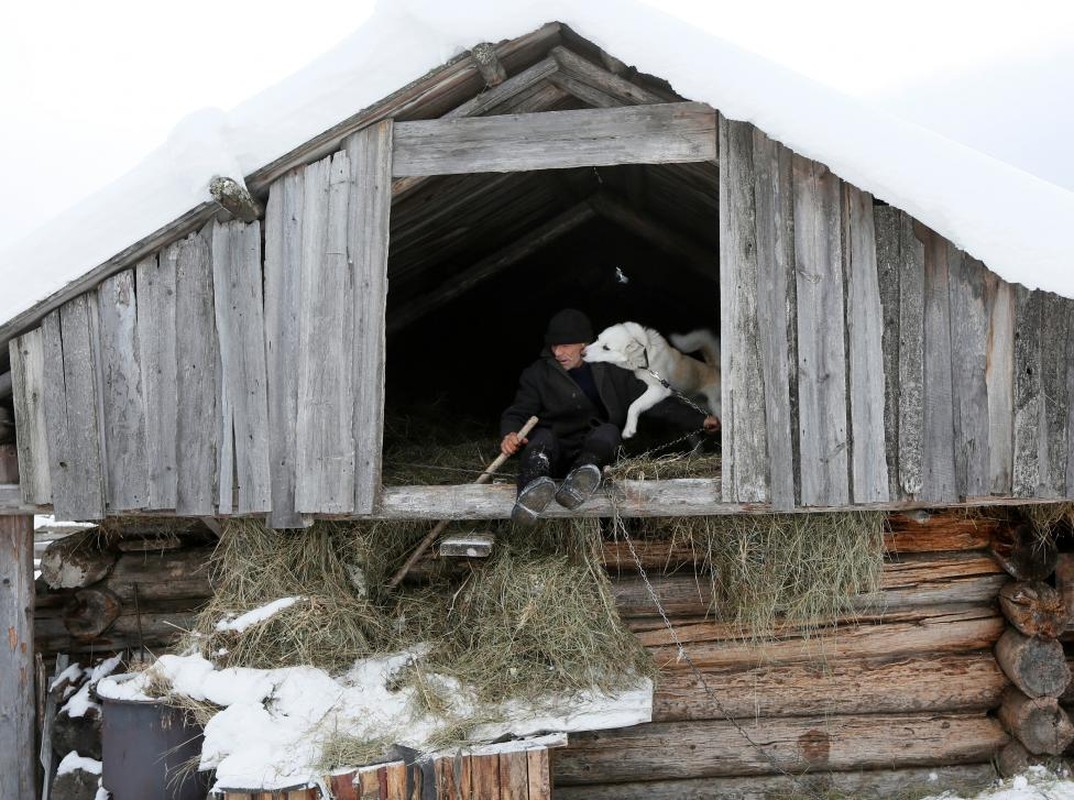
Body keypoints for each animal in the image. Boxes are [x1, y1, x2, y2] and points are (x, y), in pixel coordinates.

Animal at [584, 322, 726, 440]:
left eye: (606, 348)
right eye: (597, 339)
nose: (582, 353)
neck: (645, 360)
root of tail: (714, 368)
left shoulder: (659, 389)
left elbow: (633, 405)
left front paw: (629, 429)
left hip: (715, 404)